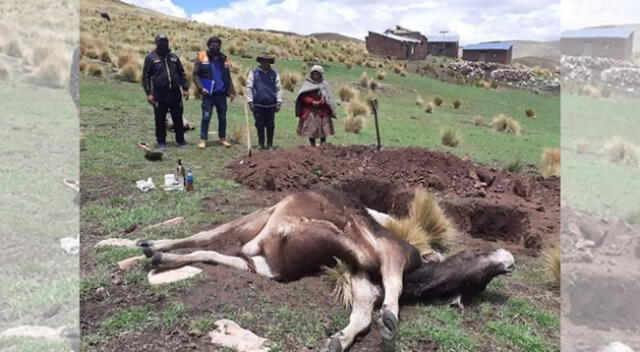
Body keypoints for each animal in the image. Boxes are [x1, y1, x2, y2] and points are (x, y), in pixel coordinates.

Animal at [136, 186, 516, 350]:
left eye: (477, 286)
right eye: (473, 255)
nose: (509, 261)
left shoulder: (363, 280)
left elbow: (362, 315)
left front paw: (340, 339)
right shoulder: (393, 253)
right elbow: (388, 287)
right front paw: (389, 319)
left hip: (263, 265)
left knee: (221, 253)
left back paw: (160, 257)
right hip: (258, 217)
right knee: (209, 234)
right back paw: (152, 244)